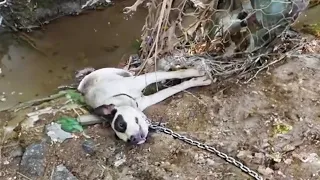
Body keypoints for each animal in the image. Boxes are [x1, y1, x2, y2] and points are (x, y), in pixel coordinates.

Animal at [77, 67, 212, 145]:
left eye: (121, 124)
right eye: (123, 139)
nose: (133, 140)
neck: (116, 98)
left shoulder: (142, 80)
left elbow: (177, 73)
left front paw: (198, 75)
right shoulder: (147, 100)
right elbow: (174, 89)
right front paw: (197, 80)